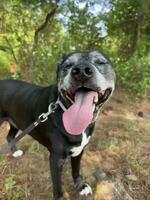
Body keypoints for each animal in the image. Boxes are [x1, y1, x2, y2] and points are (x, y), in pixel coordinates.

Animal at [0, 51, 115, 200]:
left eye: (101, 62)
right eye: (67, 65)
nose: (81, 71)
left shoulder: (79, 150)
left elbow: (76, 169)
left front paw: (80, 186)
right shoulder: (56, 160)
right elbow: (58, 186)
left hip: (15, 121)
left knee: (9, 137)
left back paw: (14, 152)